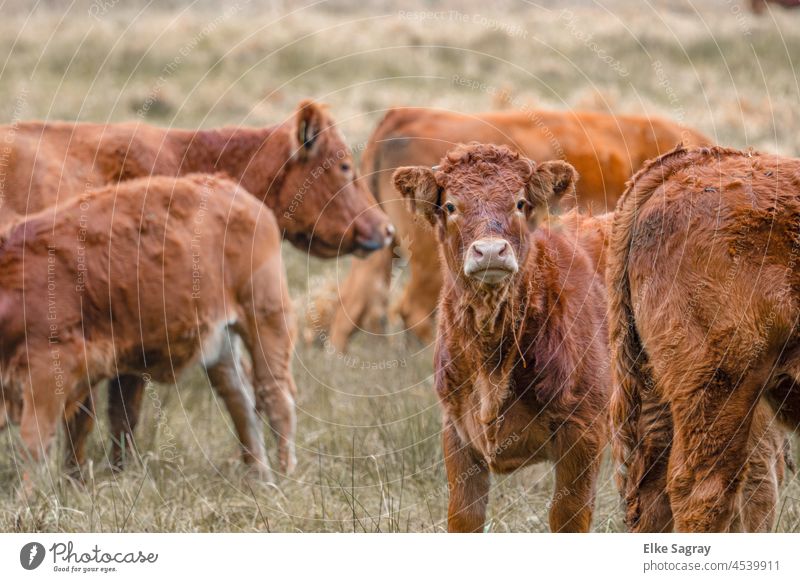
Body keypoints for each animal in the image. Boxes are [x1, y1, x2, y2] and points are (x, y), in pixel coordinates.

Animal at [0, 173, 296, 484]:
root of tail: (233, 190)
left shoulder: (47, 373)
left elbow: (34, 444)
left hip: (266, 319)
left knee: (276, 397)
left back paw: (284, 475)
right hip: (221, 344)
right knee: (240, 400)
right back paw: (260, 478)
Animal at [392, 145, 608, 532]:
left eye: (520, 203)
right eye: (451, 206)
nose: (491, 251)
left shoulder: (585, 429)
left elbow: (568, 516)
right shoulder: (456, 431)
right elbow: (465, 516)